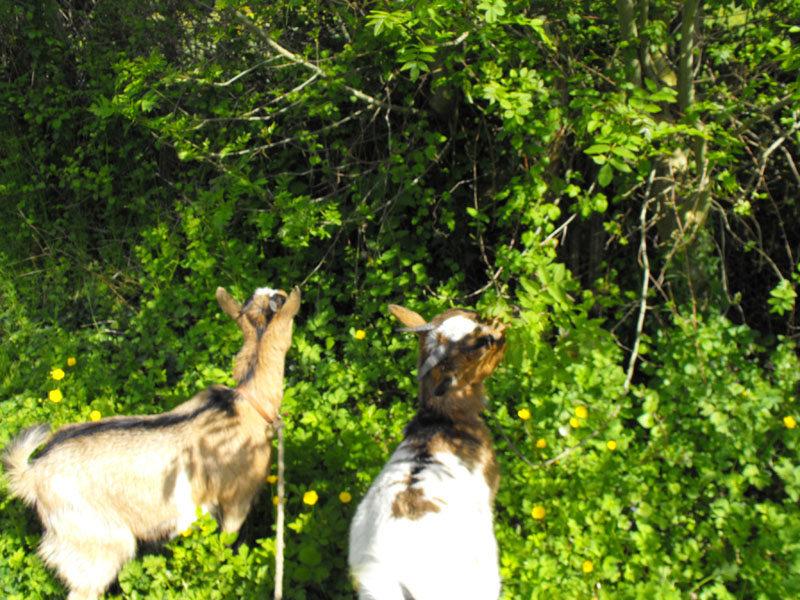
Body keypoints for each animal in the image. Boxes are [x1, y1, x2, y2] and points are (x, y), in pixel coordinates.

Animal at [1, 284, 302, 596]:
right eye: (281, 300)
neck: (247, 403)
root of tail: (31, 475)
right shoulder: (236, 499)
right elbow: (227, 542)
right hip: (95, 542)